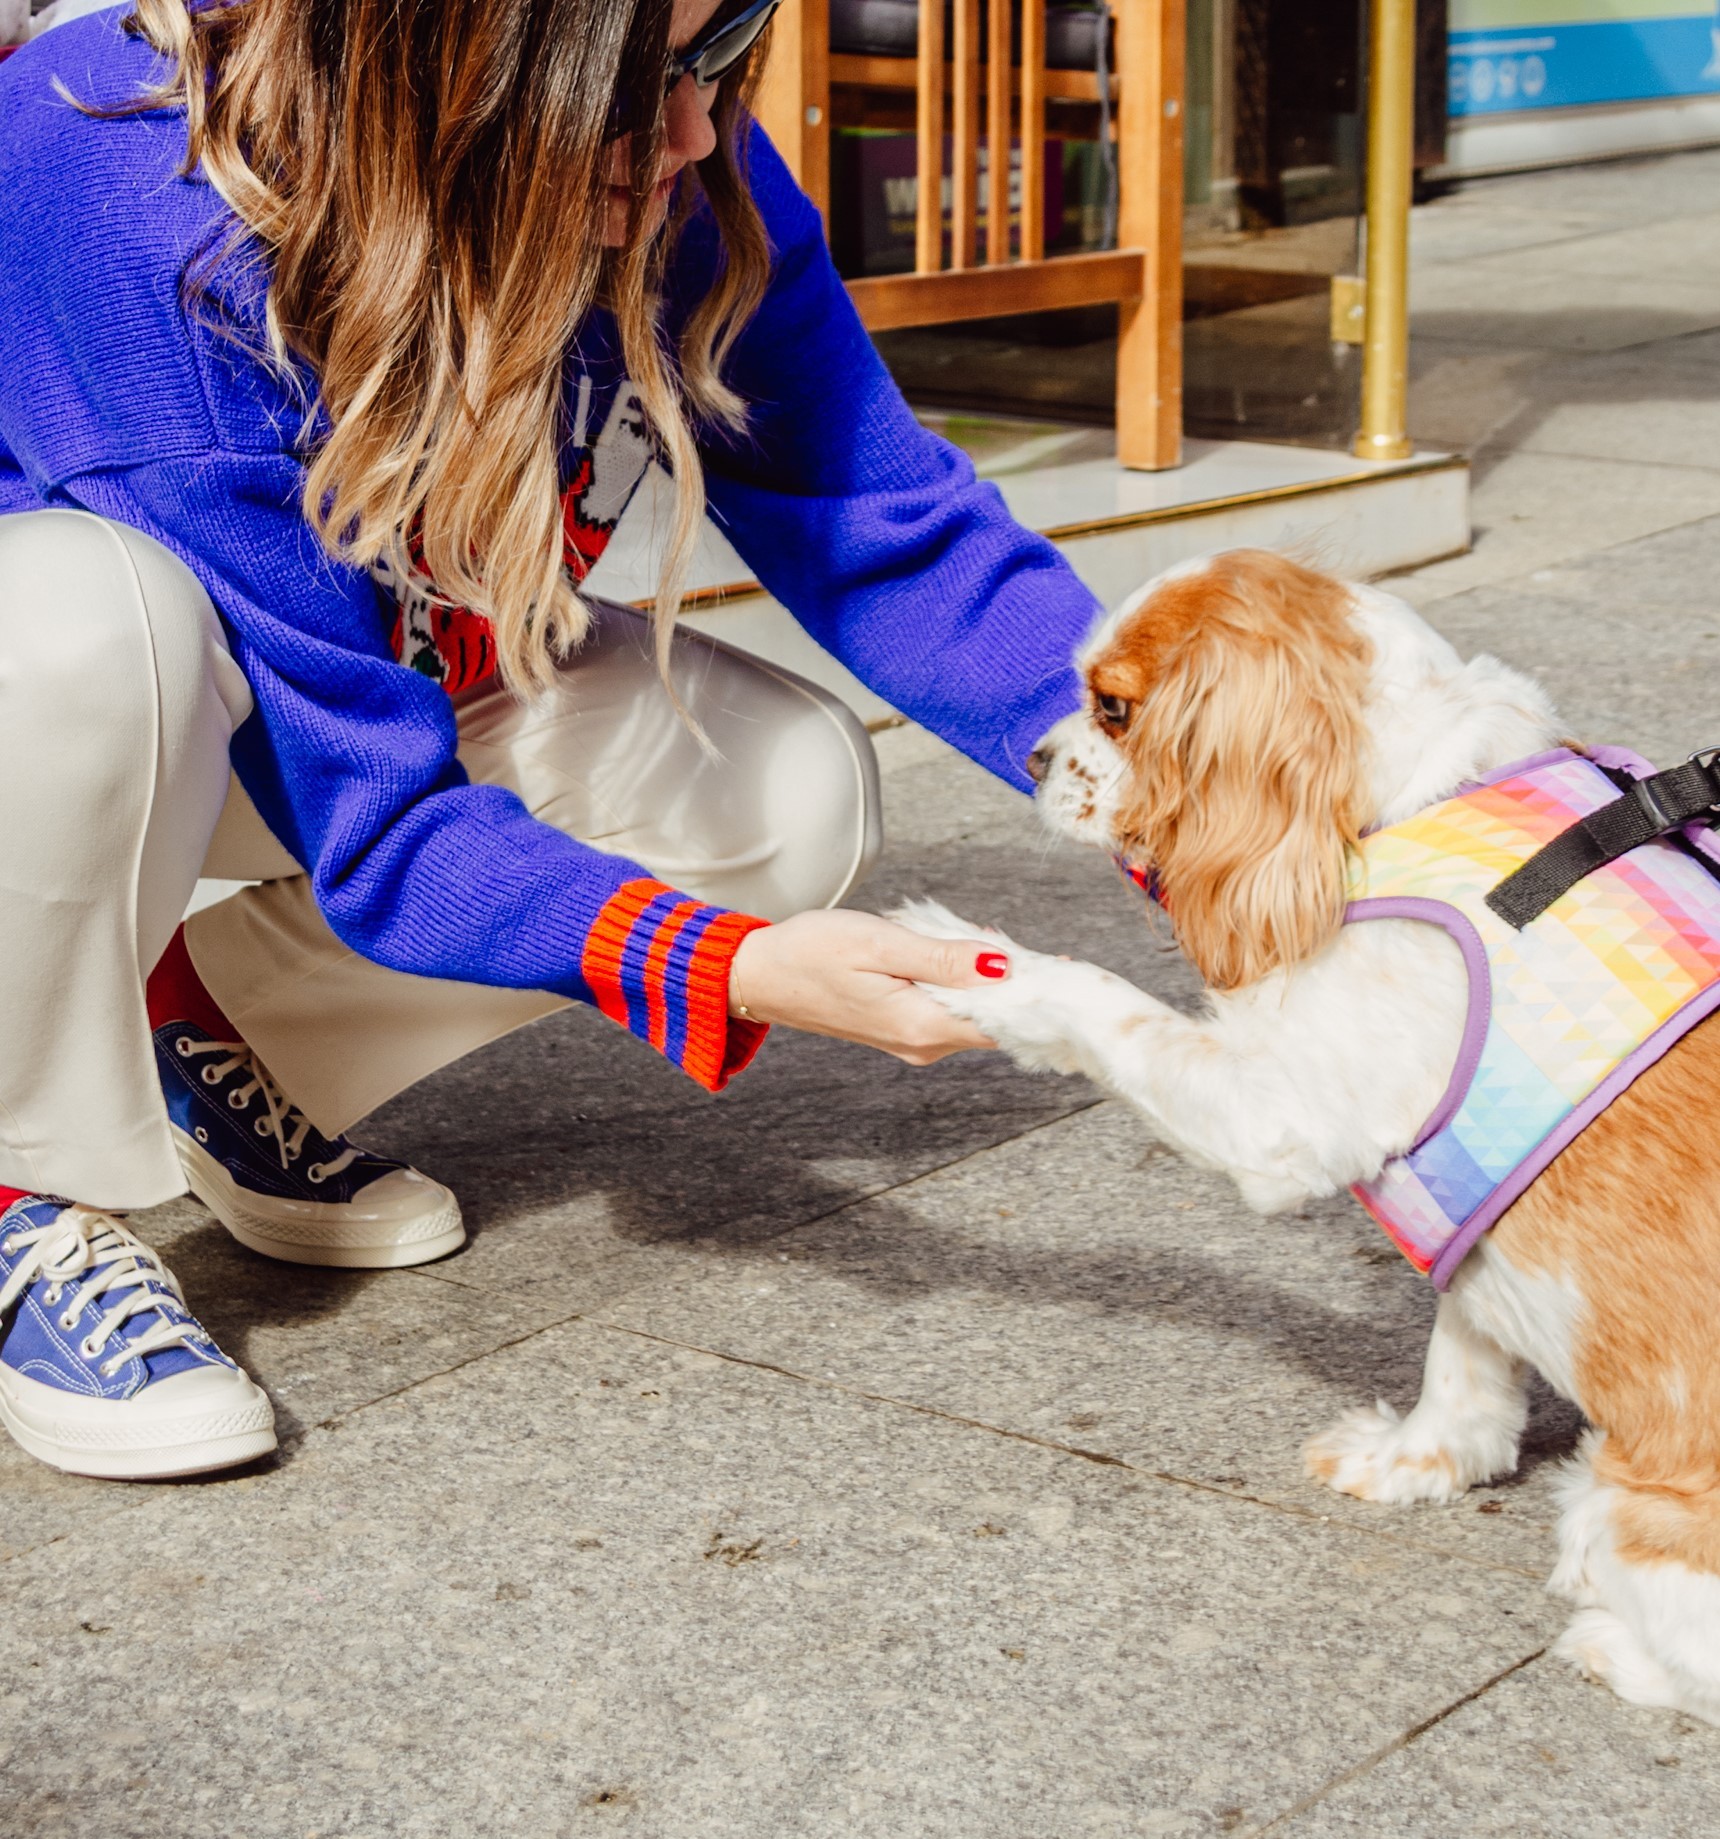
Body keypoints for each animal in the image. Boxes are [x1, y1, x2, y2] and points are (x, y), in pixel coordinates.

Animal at [901, 544, 1720, 1721]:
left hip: (1639, 1515)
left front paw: (980, 966)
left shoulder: (1274, 1116)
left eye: (1114, 707)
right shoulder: (1470, 1221)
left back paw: (1609, 1640)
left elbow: (1099, 1000)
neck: (1408, 804)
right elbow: (1460, 1357)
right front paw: (1419, 1460)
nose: (1033, 753)